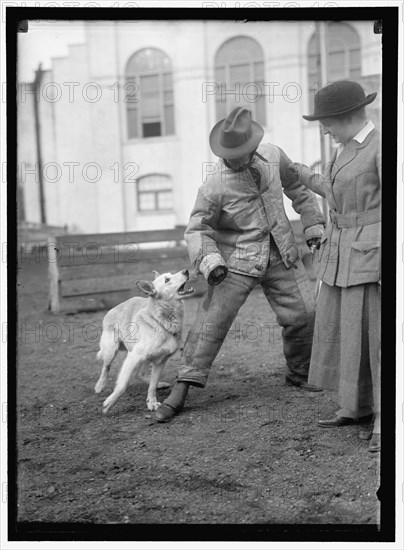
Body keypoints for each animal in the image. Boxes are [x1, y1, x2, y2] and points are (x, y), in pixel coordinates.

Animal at [95, 270, 195, 416]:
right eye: (167, 280)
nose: (186, 271)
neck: (161, 322)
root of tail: (114, 307)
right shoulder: (133, 357)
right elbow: (122, 385)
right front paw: (109, 403)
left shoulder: (160, 361)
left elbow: (153, 384)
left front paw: (152, 402)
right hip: (110, 351)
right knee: (105, 367)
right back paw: (100, 386)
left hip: (146, 358)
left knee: (141, 374)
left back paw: (160, 384)